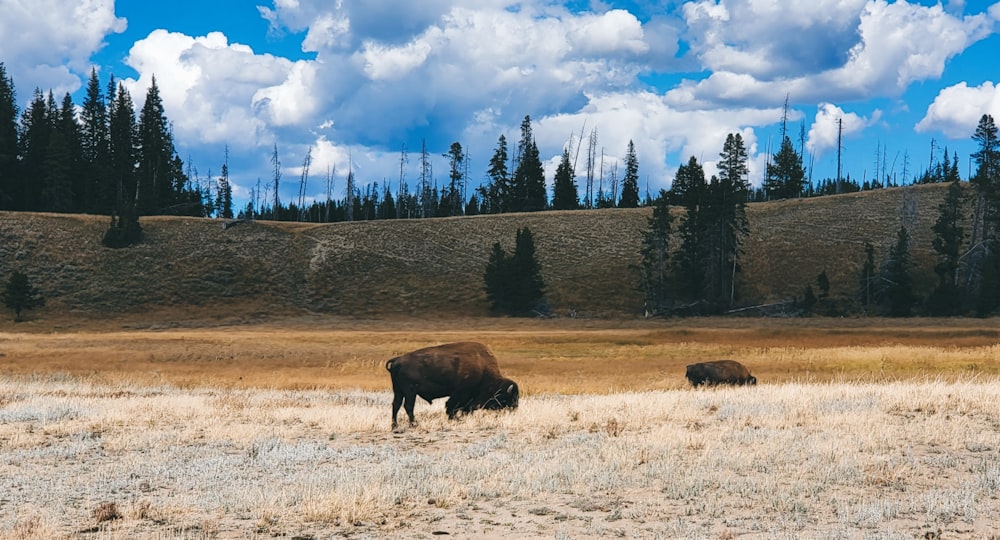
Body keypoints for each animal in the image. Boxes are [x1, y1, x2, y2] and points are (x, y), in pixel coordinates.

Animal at [384, 342, 520, 430]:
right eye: (508, 397)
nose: (515, 408)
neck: (483, 368)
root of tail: (397, 361)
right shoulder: (461, 393)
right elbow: (452, 406)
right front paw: (455, 419)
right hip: (410, 391)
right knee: (408, 406)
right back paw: (414, 424)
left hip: (398, 390)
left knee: (396, 405)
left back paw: (394, 425)